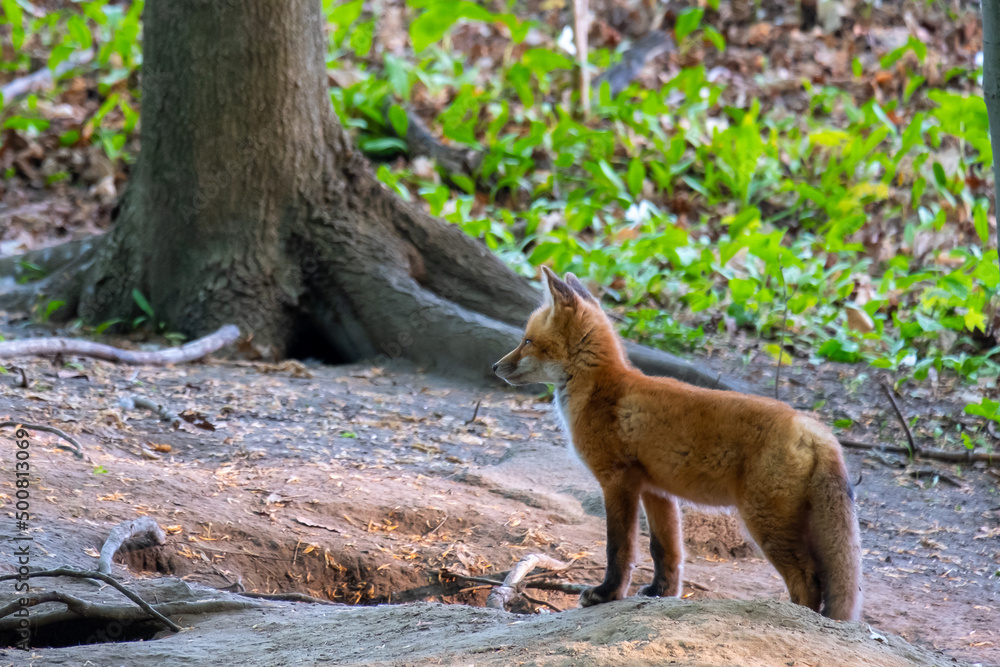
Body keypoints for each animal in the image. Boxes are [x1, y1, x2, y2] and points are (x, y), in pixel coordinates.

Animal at [492, 266, 860, 620]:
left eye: (527, 341)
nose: (495, 366)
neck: (601, 390)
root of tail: (816, 429)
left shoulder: (616, 481)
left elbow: (619, 548)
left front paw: (607, 594)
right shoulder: (656, 489)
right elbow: (664, 550)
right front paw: (661, 593)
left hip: (766, 522)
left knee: (808, 581)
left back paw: (797, 617)